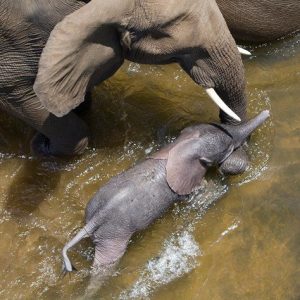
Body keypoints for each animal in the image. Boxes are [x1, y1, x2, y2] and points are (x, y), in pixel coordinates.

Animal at [62, 110, 270, 274]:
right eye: (227, 148)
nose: (268, 112)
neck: (182, 147)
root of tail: (95, 220)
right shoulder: (185, 186)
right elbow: (200, 190)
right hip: (114, 234)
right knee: (107, 261)